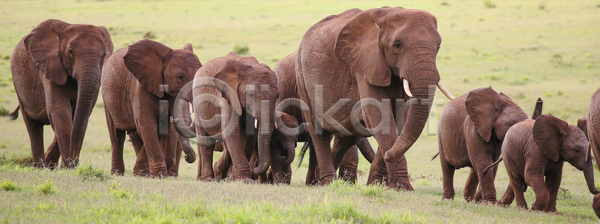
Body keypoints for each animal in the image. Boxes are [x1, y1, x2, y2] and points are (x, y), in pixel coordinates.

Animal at [10, 19, 113, 169]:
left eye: (104, 54)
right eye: (71, 52)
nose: (75, 163)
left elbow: (80, 116)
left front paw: (67, 167)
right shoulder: (51, 67)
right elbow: (60, 113)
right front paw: (67, 168)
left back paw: (48, 165)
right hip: (18, 85)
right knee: (33, 126)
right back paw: (40, 167)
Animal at [100, 39, 199, 178]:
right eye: (180, 77)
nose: (186, 158)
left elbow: (164, 129)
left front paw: (145, 173)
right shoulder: (140, 88)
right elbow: (146, 124)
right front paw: (158, 175)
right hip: (107, 95)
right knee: (116, 136)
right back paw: (117, 174)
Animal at [172, 51, 278, 181]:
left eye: (277, 96)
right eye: (251, 95)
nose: (256, 165)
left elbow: (249, 135)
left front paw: (235, 178)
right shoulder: (227, 95)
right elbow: (231, 132)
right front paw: (243, 180)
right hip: (198, 104)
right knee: (206, 143)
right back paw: (208, 179)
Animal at [292, 7, 452, 189]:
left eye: (438, 47)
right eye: (397, 45)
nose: (389, 154)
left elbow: (399, 119)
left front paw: (376, 185)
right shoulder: (366, 65)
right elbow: (379, 116)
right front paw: (401, 188)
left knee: (346, 138)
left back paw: (319, 181)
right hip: (302, 76)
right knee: (318, 133)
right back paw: (327, 183)